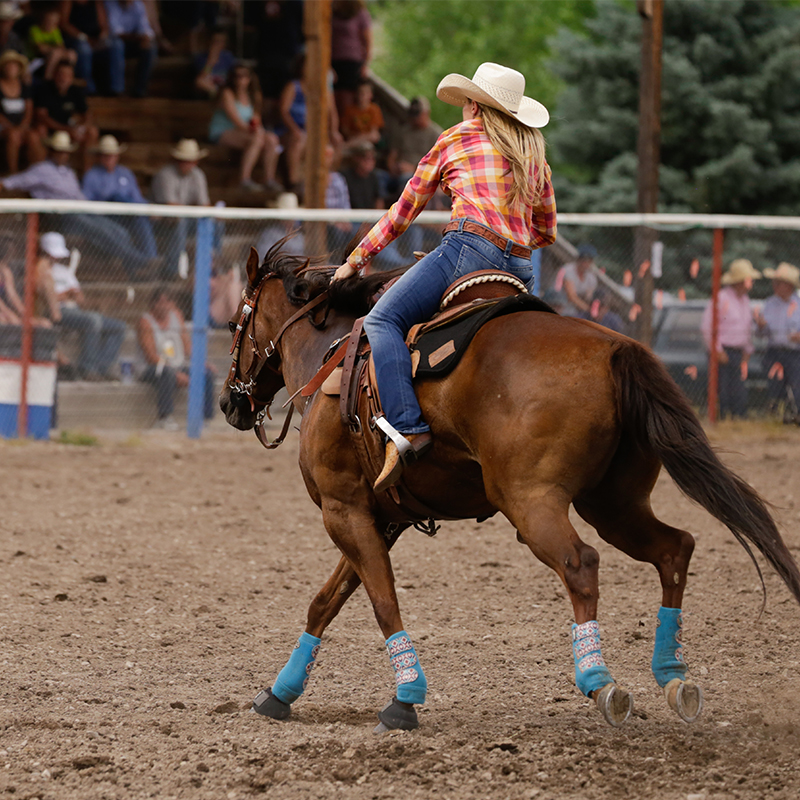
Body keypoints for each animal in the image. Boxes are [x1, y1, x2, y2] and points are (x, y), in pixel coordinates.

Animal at [219, 245, 800, 732]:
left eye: (232, 323)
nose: (228, 403)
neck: (331, 360)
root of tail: (615, 348)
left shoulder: (343, 509)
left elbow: (382, 601)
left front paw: (405, 698)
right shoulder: (379, 516)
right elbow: (326, 601)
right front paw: (280, 693)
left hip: (532, 502)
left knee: (581, 564)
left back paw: (600, 682)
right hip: (613, 504)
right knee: (674, 548)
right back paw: (673, 676)